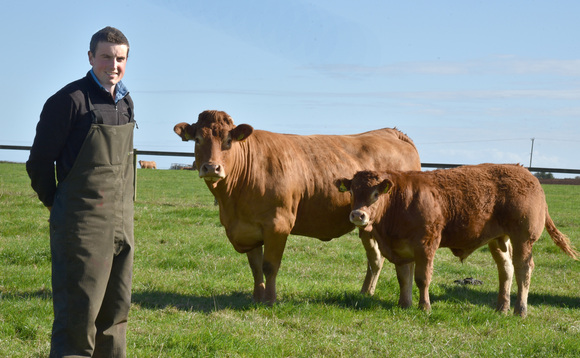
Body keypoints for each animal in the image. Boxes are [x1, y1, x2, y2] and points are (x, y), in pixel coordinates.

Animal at [173, 110, 422, 304]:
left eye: (228, 141)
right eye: (197, 139)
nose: (211, 168)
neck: (232, 202)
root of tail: (391, 132)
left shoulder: (278, 225)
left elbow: (270, 266)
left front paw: (270, 300)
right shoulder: (247, 229)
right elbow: (255, 267)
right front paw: (257, 297)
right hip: (367, 225)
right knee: (375, 259)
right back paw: (364, 293)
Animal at [338, 164, 576, 318]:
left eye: (376, 194)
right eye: (352, 191)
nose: (357, 215)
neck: (400, 200)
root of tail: (527, 173)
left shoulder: (426, 245)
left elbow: (422, 278)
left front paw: (424, 307)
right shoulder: (400, 248)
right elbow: (404, 279)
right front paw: (404, 305)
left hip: (524, 239)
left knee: (523, 270)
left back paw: (520, 310)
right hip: (498, 240)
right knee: (506, 270)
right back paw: (502, 308)